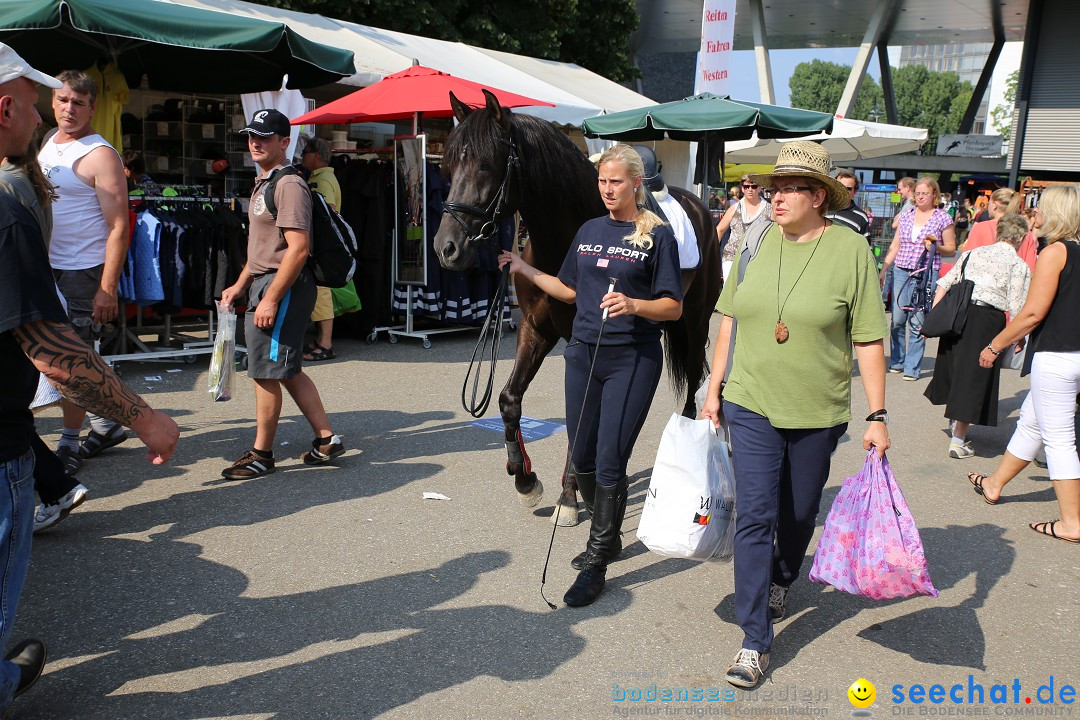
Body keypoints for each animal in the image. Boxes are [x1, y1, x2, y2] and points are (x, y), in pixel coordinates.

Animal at [434, 91, 721, 528]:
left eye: (486, 164)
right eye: (448, 166)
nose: (445, 249)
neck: (565, 243)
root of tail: (701, 207)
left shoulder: (578, 342)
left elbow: (579, 419)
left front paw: (569, 498)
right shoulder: (536, 329)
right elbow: (509, 399)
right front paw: (524, 479)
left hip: (695, 321)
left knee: (690, 382)